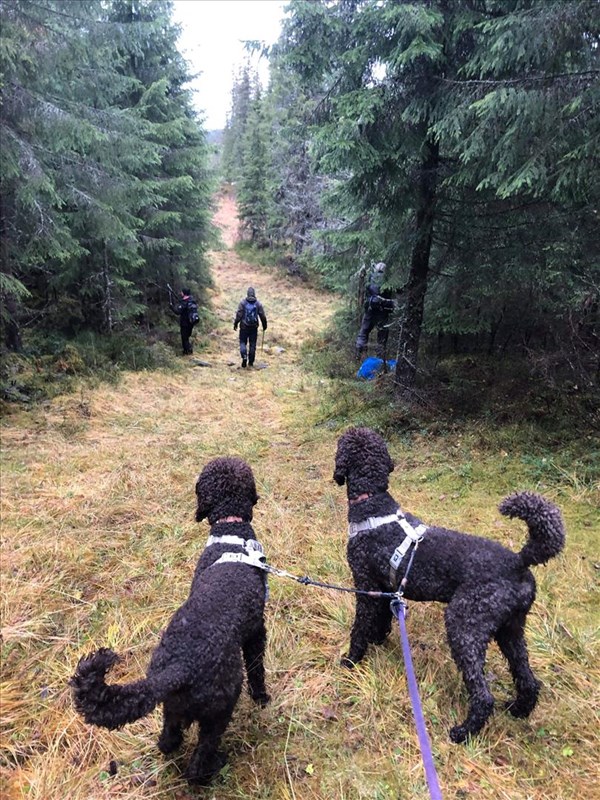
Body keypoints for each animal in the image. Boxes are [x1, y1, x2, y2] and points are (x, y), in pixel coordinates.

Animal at [70, 460, 270, 784]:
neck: (230, 530)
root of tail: (178, 669)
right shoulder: (256, 631)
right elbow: (257, 669)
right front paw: (262, 698)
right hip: (220, 706)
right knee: (199, 760)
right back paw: (214, 766)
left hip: (171, 708)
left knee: (168, 741)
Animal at [336, 428, 564, 748]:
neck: (373, 503)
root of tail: (519, 561)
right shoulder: (381, 588)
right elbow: (380, 620)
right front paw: (378, 639)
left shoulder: (365, 585)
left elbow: (359, 627)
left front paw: (352, 660)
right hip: (511, 629)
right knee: (528, 679)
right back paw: (518, 709)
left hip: (464, 624)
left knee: (483, 695)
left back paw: (464, 732)